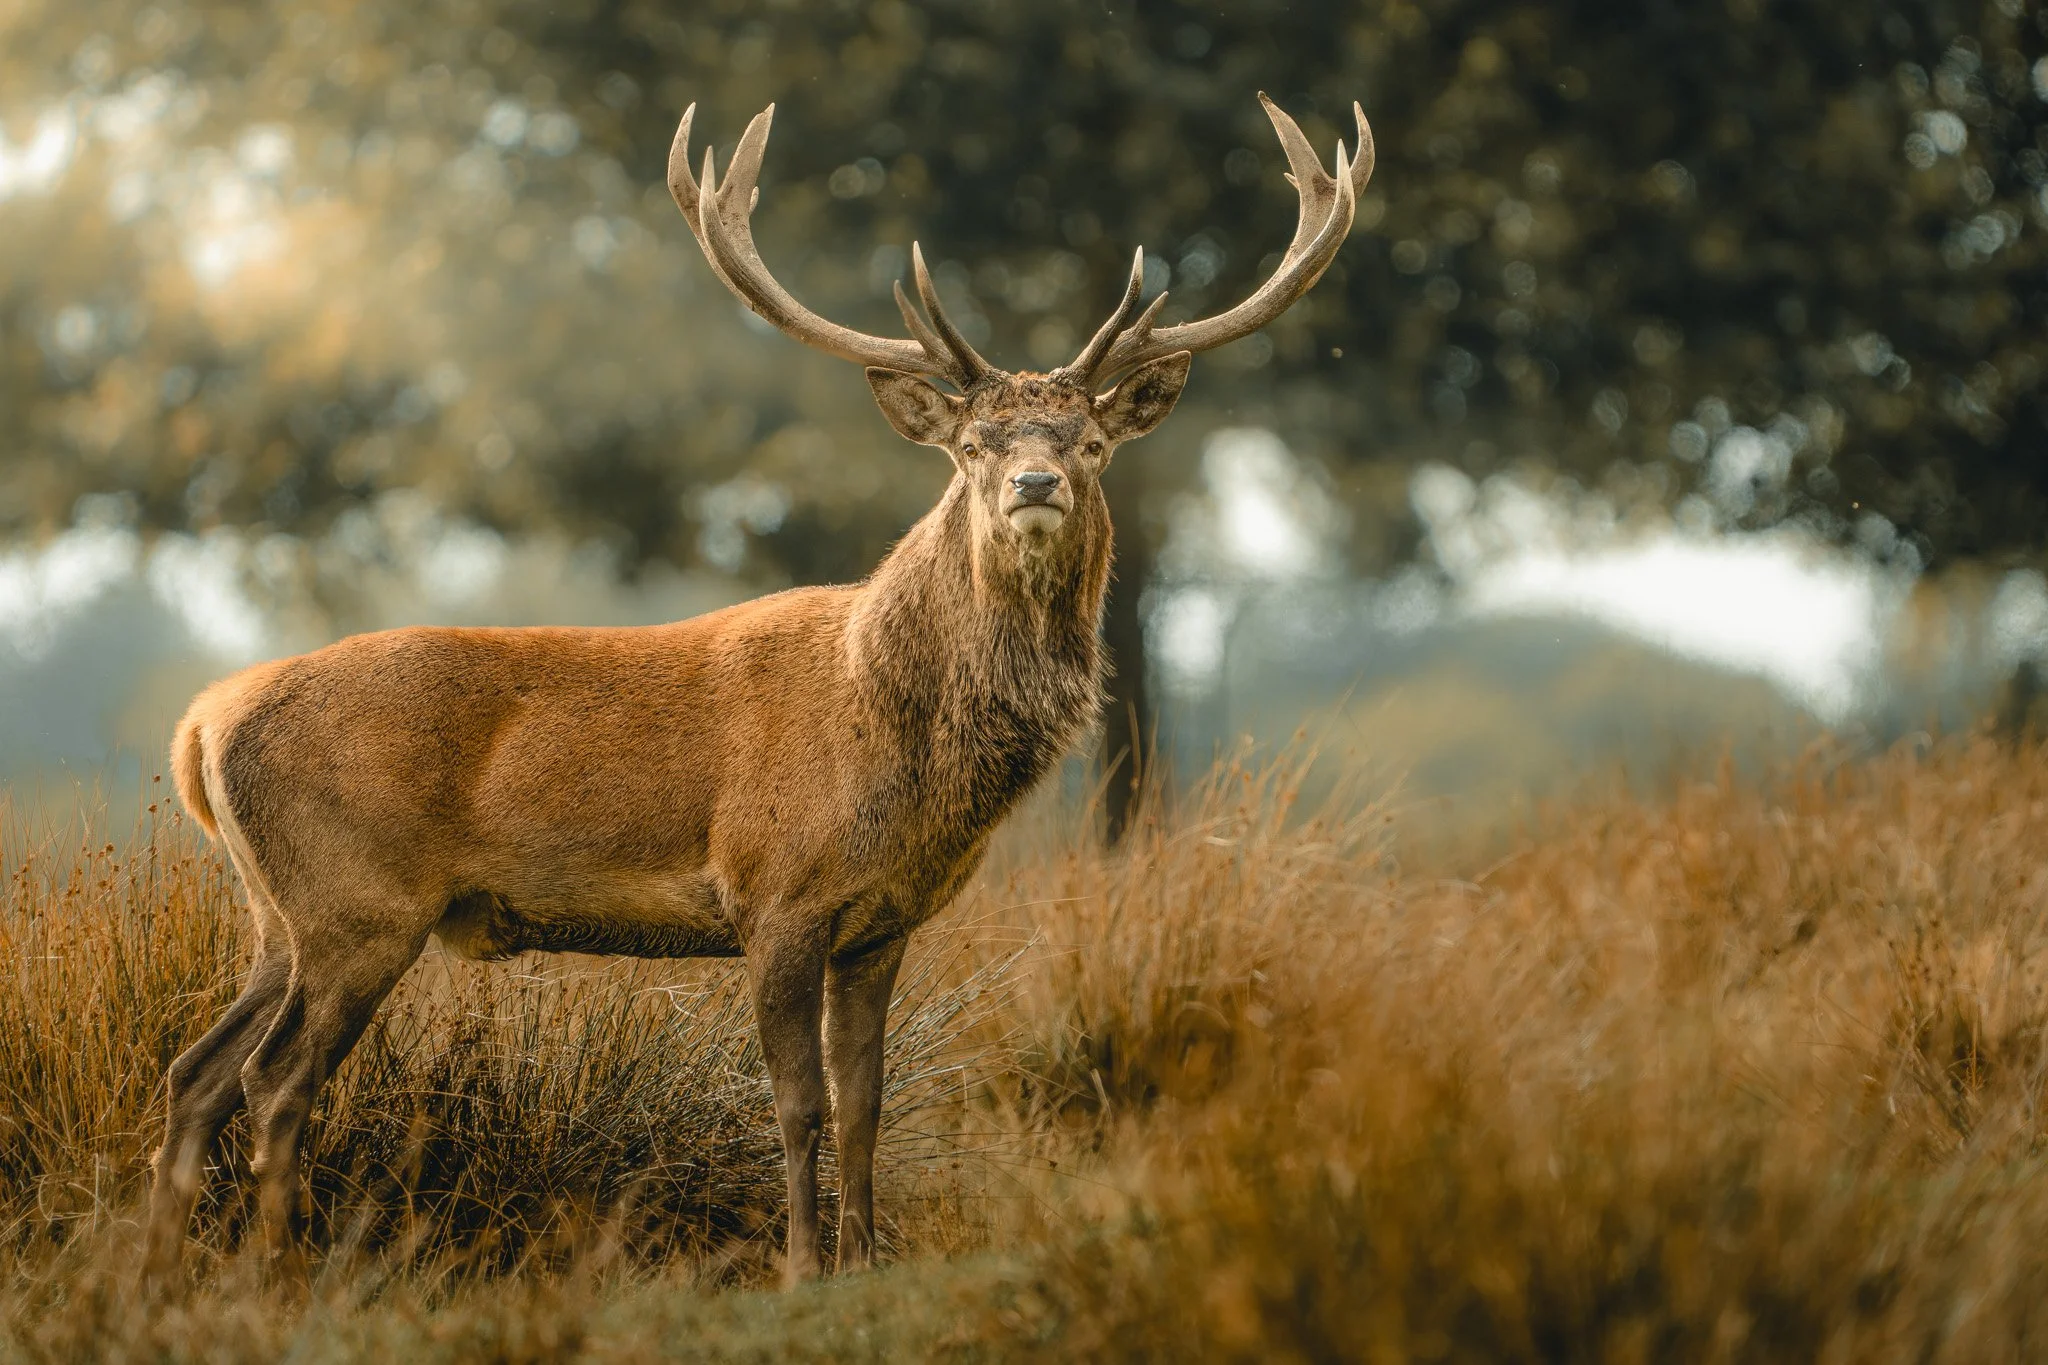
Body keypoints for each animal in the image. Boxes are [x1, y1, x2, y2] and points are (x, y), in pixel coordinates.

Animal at [143, 92, 1373, 1292]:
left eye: (1089, 440)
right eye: (974, 444)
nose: (1034, 483)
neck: (891, 729)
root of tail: (200, 725)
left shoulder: (882, 923)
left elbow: (867, 1102)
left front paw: (864, 1259)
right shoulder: (776, 892)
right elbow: (798, 1103)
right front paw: (797, 1264)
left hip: (278, 911)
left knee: (195, 1069)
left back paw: (157, 1270)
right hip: (358, 902)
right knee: (274, 1080)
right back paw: (275, 1274)